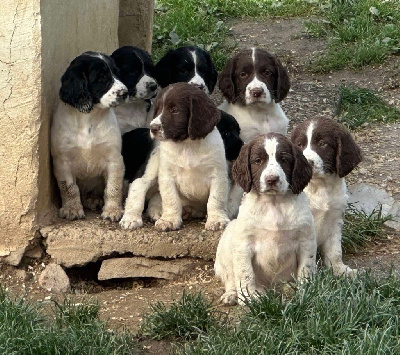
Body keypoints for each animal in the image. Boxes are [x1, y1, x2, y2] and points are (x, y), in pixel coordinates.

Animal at [50, 51, 127, 221]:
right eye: (101, 77)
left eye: (117, 73)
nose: (125, 93)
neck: (88, 118)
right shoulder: (63, 161)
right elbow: (69, 188)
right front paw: (72, 209)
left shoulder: (114, 158)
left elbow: (113, 187)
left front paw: (113, 210)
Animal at [290, 117, 362, 278]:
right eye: (299, 145)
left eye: (323, 144)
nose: (308, 162)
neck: (320, 186)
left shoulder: (335, 220)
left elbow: (335, 251)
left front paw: (340, 270)